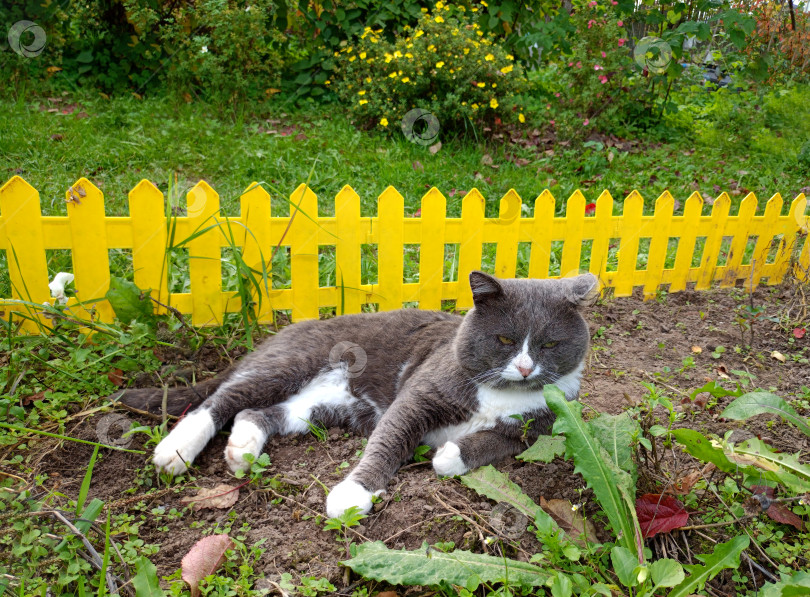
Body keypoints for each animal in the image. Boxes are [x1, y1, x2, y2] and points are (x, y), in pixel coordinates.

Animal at [121, 270, 600, 516]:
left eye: (550, 344)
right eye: (504, 339)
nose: (525, 367)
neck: (503, 393)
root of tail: (284, 331)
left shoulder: (539, 428)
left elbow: (494, 442)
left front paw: (449, 456)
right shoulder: (418, 395)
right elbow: (389, 440)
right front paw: (353, 493)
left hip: (329, 407)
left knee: (258, 413)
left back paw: (243, 449)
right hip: (290, 365)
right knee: (221, 401)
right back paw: (176, 450)